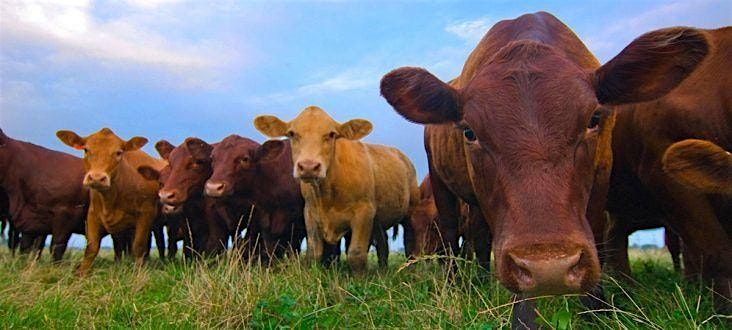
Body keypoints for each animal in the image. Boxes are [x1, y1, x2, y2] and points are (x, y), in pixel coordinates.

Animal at [56, 127, 166, 274]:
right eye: (86, 149)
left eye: (119, 152)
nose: (97, 178)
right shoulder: (92, 215)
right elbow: (91, 248)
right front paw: (82, 273)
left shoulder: (146, 214)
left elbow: (138, 246)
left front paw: (138, 273)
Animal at [256, 107, 418, 272]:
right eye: (292, 133)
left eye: (331, 134)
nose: (308, 167)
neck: (328, 194)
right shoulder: (310, 213)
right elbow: (314, 253)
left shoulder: (364, 212)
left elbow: (356, 253)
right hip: (378, 221)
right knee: (383, 244)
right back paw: (383, 271)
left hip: (411, 209)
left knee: (410, 241)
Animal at [380, 11, 708, 326]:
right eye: (469, 131)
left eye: (594, 119)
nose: (550, 268)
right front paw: (524, 318)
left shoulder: (602, 174)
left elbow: (596, 232)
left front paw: (596, 310)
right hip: (442, 183)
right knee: (451, 235)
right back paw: (457, 284)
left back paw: (483, 280)